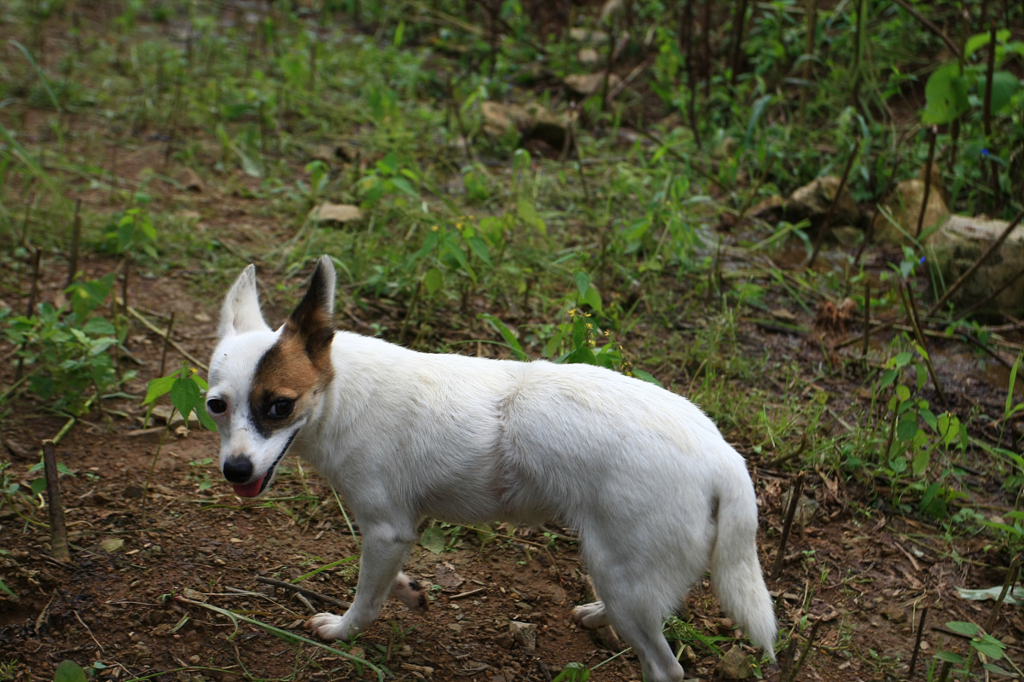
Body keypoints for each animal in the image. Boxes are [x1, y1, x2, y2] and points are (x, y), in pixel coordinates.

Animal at [203, 256, 770, 679]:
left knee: (665, 666)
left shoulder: (385, 529)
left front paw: (344, 632)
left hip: (620, 570)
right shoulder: (399, 533)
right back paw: (596, 613)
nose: (235, 471)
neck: (339, 391)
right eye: (216, 406)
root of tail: (723, 455)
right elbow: (386, 583)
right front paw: (407, 590)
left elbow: (365, 600)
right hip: (624, 574)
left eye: (280, 406)